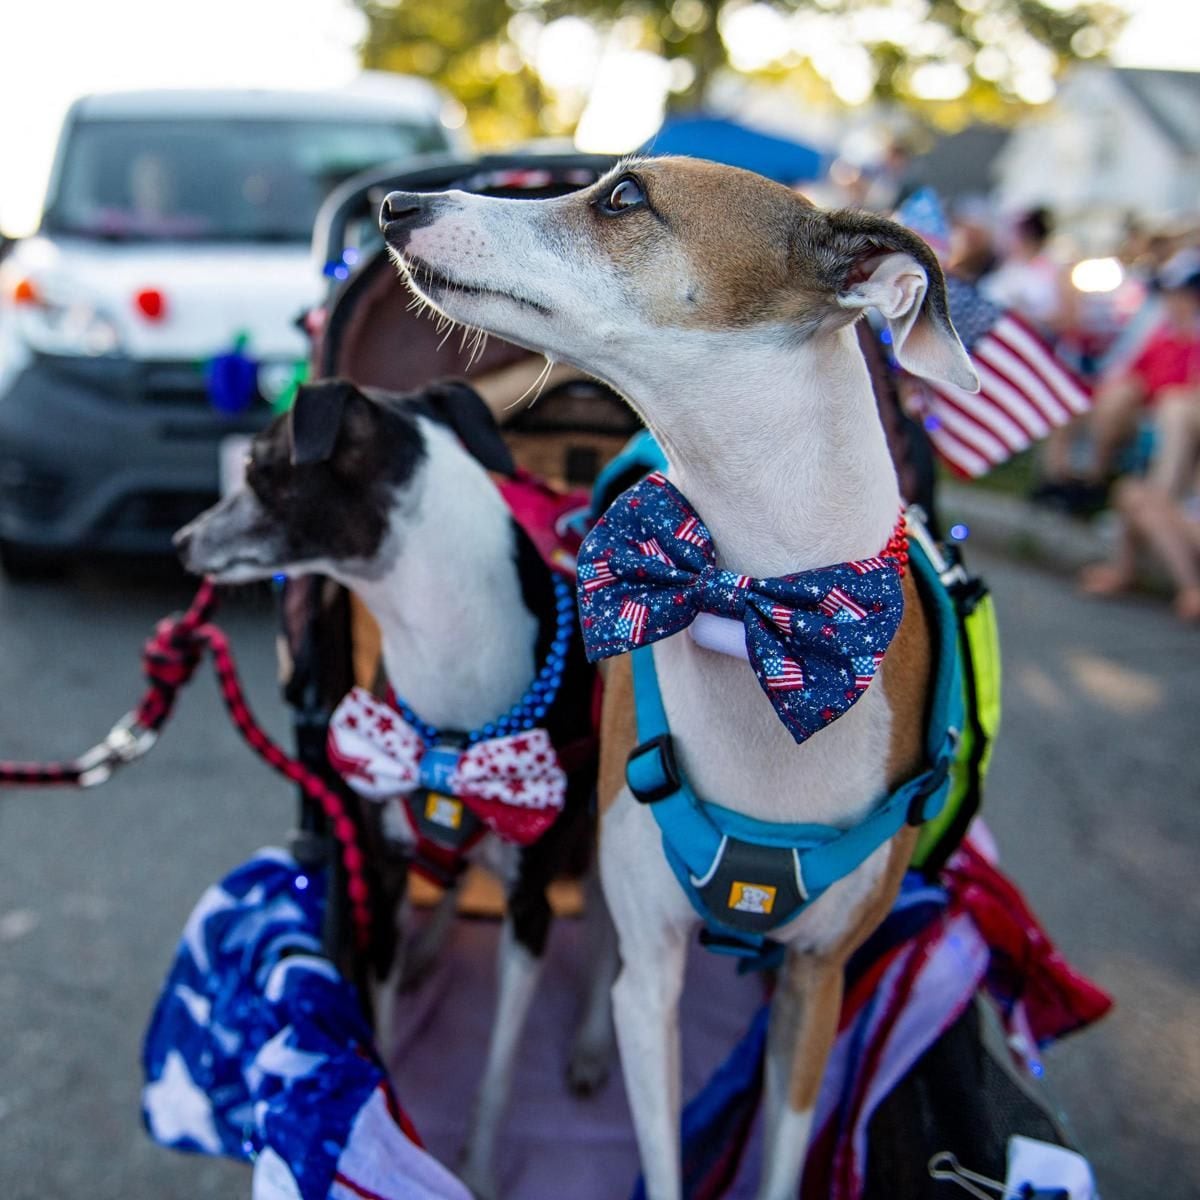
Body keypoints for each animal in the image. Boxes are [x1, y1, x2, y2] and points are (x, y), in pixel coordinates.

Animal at [177, 379, 619, 1195]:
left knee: (610, 932)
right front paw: (382, 1125)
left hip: (604, 832)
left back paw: (591, 1043)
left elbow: (497, 1074)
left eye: (255, 470)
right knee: (453, 876)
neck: (445, 660)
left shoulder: (530, 909)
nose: (181, 542)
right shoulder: (378, 877)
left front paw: (475, 1170)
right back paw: (430, 948)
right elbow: (376, 1030)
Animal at [379, 162, 979, 1200]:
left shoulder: (818, 983)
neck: (753, 608)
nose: (396, 207)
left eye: (625, 197)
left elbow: (782, 1151)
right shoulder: (655, 967)